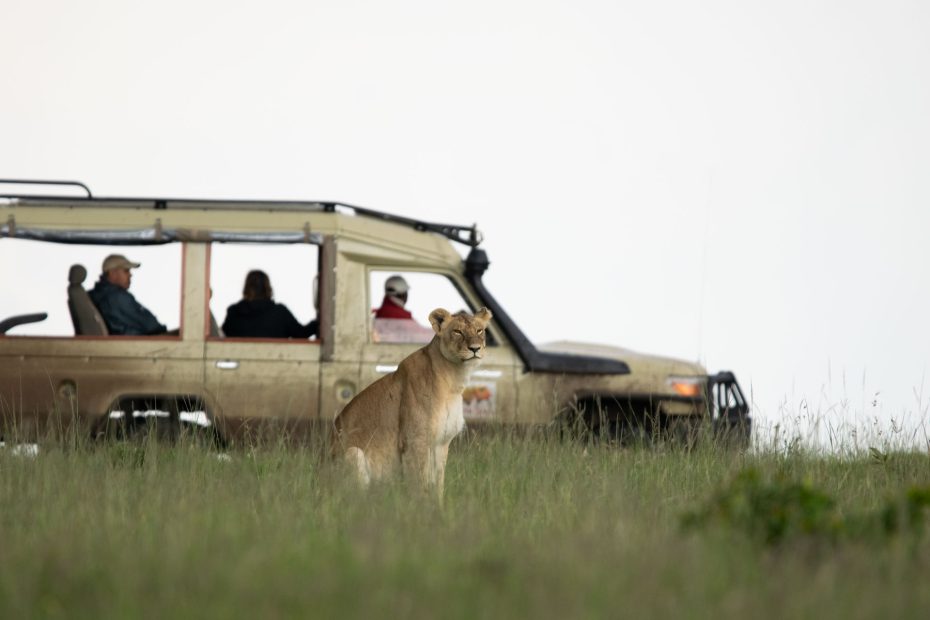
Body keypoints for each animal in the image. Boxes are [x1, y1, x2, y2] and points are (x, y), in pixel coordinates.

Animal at [332, 306, 492, 500]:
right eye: (457, 332)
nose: (475, 348)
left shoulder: (441, 443)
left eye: (479, 330)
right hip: (353, 453)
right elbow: (420, 485)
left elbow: (438, 485)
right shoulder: (415, 441)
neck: (455, 380)